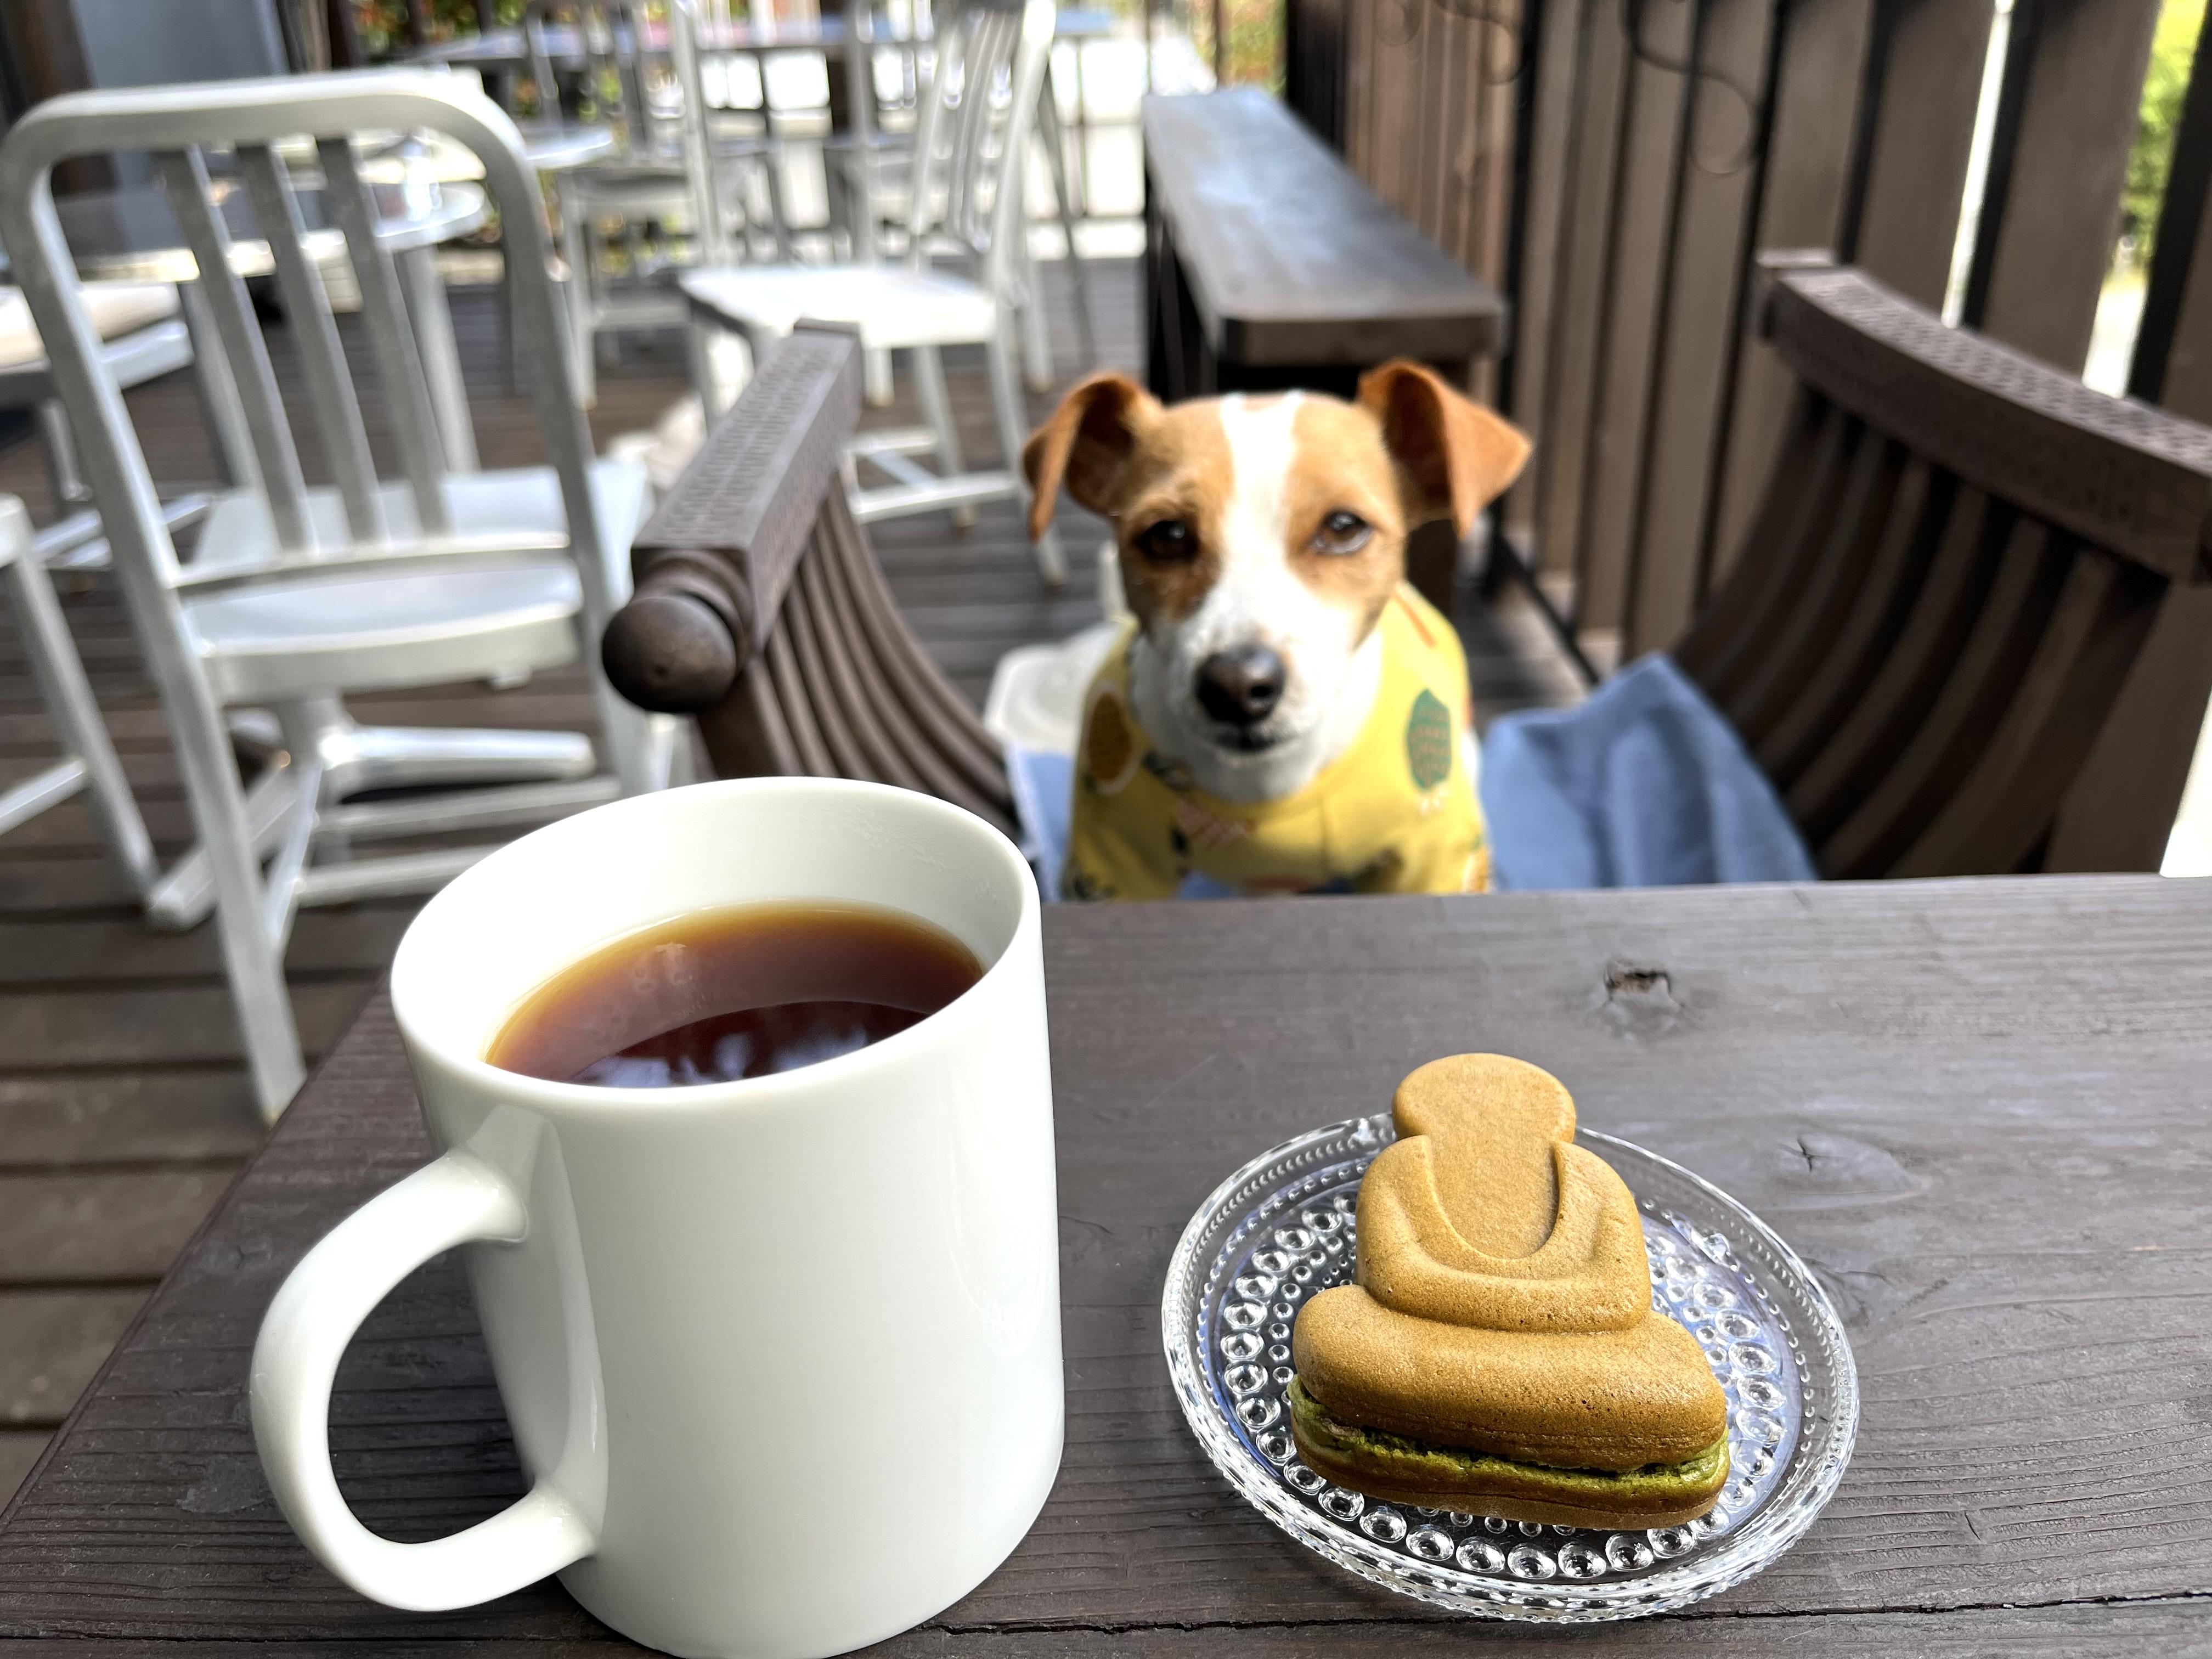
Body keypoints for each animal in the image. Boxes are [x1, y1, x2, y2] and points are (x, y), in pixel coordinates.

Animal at [1026, 358, 1531, 902]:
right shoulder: (1113, 856)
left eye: (1344, 526)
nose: (1237, 686)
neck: (1266, 787)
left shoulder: (1432, 860)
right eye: (1167, 535)